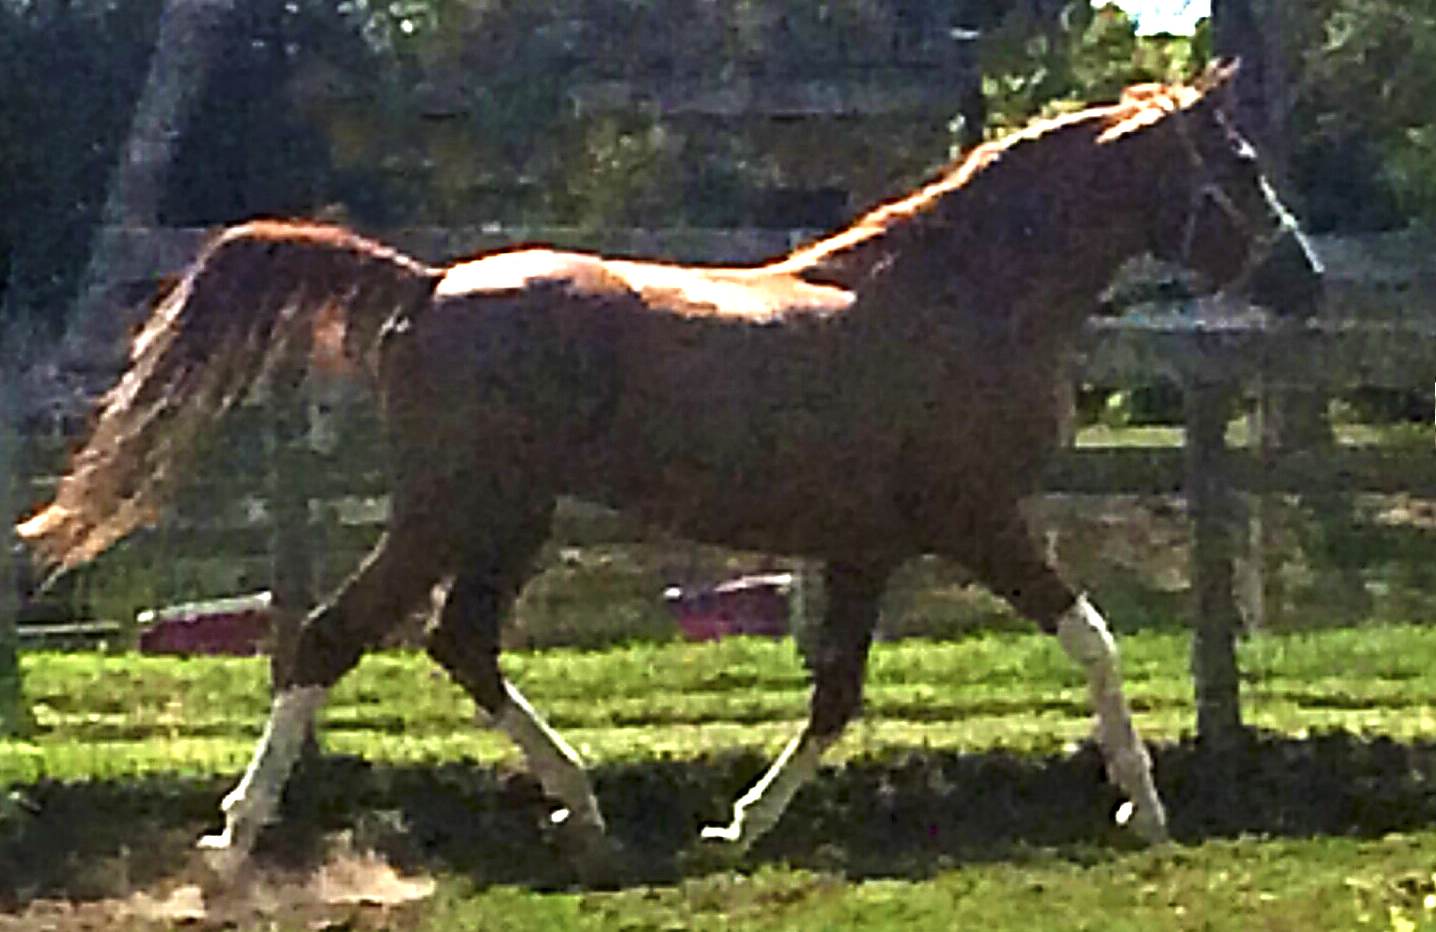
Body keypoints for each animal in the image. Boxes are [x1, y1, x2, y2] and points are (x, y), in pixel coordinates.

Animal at [17, 63, 1322, 882]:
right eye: (1238, 162)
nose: (1303, 282)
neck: (960, 295)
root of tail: (426, 287)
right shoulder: (978, 519)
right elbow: (1090, 638)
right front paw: (1144, 805)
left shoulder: (867, 545)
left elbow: (835, 694)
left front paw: (733, 828)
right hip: (455, 509)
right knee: (331, 637)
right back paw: (232, 841)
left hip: (511, 517)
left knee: (459, 644)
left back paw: (589, 813)